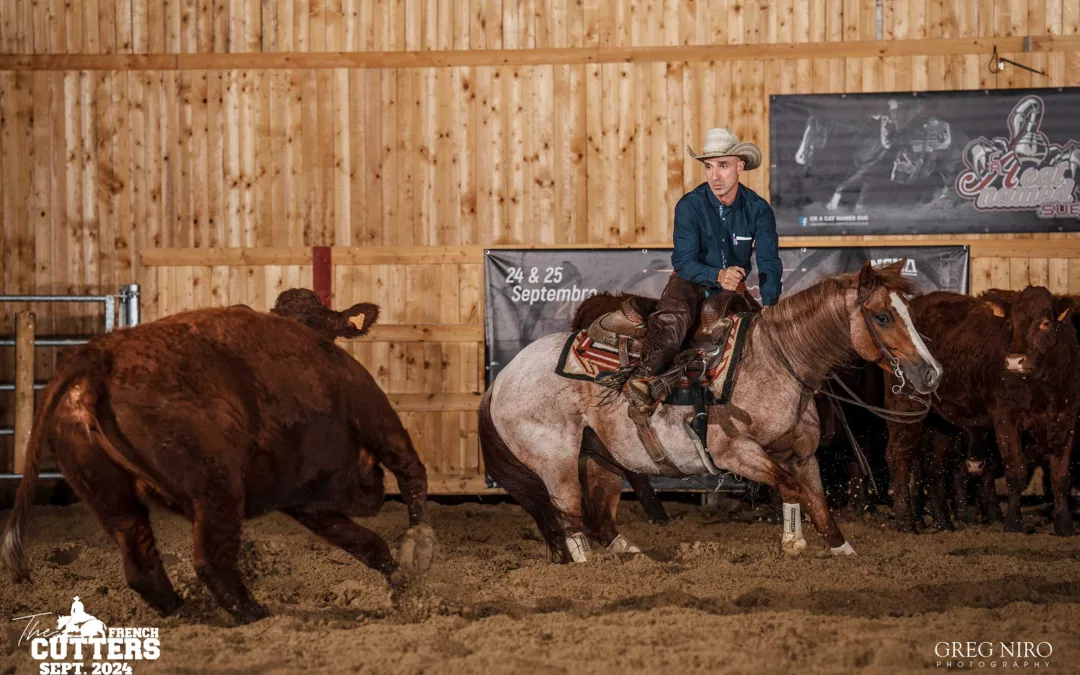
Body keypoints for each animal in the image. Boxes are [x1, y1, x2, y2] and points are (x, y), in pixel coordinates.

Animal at [5, 287, 434, 622]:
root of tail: (101, 353)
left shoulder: (305, 496)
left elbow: (366, 542)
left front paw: (401, 579)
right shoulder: (371, 413)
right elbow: (412, 475)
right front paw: (417, 567)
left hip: (109, 493)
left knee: (141, 560)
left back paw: (187, 611)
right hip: (216, 487)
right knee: (213, 562)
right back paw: (257, 615)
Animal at [477, 260, 941, 561]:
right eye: (882, 316)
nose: (931, 374)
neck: (774, 358)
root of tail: (501, 380)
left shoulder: (803, 454)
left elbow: (819, 504)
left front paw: (841, 550)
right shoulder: (735, 453)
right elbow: (793, 489)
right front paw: (794, 543)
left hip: (601, 457)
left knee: (600, 518)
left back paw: (635, 556)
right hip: (555, 460)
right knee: (569, 516)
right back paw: (587, 563)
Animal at [885, 287, 1080, 533]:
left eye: (1045, 323)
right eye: (1010, 324)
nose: (1014, 361)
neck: (1043, 388)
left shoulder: (1068, 418)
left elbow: (1061, 476)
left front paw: (1064, 526)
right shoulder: (1005, 417)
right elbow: (1015, 472)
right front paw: (1013, 523)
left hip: (940, 421)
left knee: (934, 466)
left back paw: (943, 522)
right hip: (905, 405)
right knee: (900, 456)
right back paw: (906, 523)